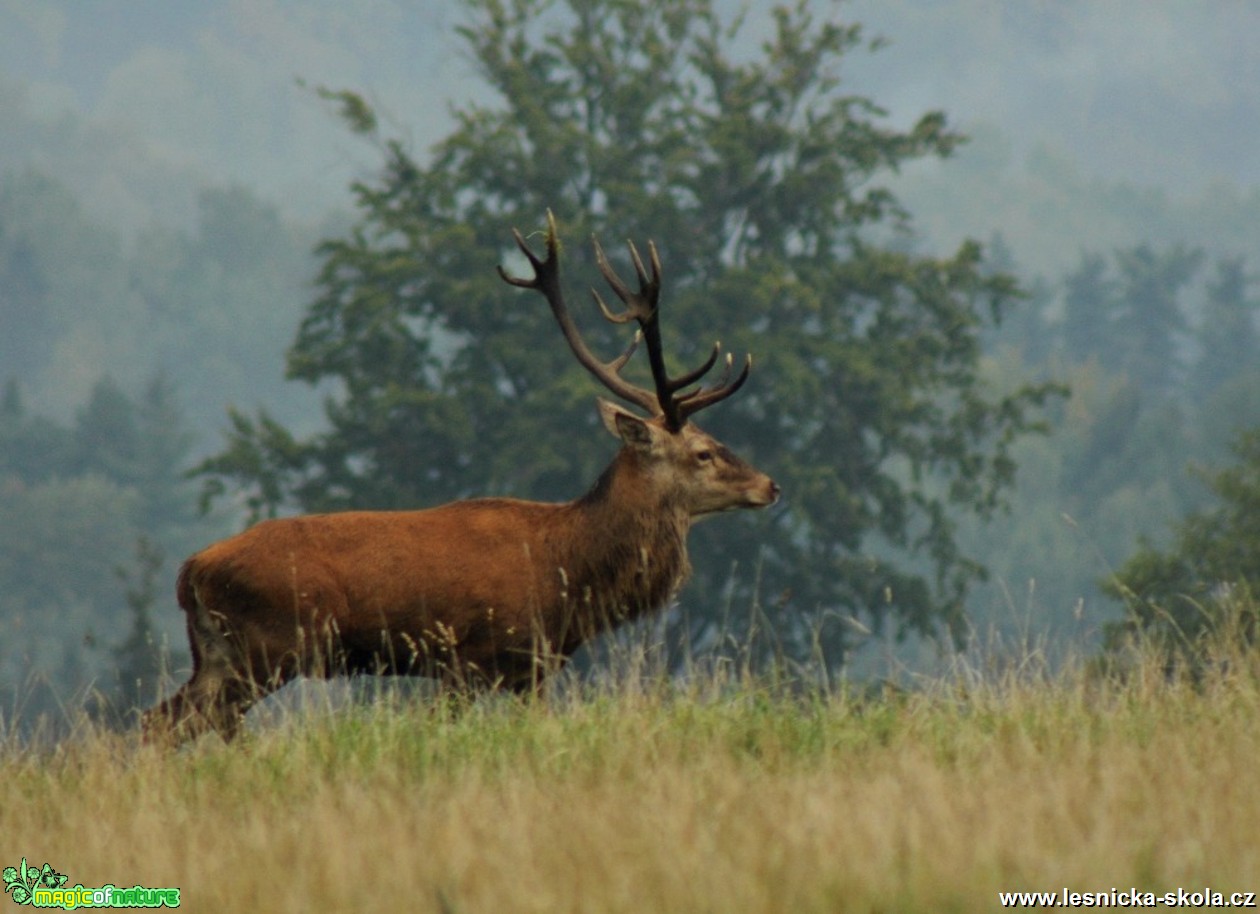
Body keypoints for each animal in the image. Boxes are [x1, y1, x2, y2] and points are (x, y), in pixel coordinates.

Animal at [143, 211, 781, 741]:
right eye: (703, 452)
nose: (771, 486)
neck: (568, 571)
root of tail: (191, 570)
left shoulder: (532, 670)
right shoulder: (469, 656)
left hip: (220, 653)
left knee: (161, 721)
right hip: (267, 647)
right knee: (181, 723)